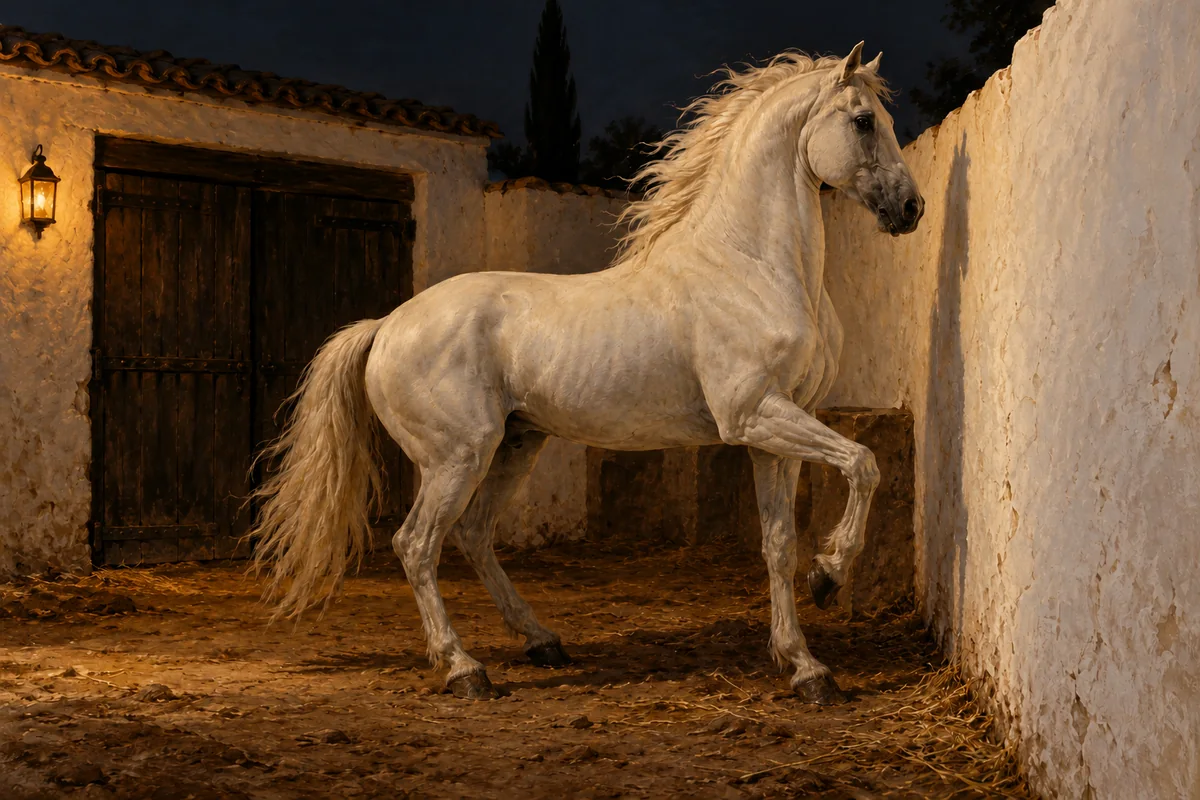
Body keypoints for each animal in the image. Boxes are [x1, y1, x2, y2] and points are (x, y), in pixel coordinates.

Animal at [249, 42, 924, 704]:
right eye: (863, 121)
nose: (911, 209)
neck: (750, 266)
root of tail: (387, 324)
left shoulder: (773, 434)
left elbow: (779, 545)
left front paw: (805, 667)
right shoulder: (753, 415)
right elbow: (865, 463)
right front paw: (829, 578)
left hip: (515, 445)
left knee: (473, 534)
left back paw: (541, 642)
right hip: (456, 456)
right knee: (417, 545)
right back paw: (464, 669)